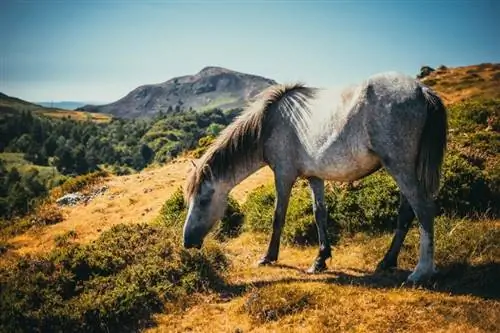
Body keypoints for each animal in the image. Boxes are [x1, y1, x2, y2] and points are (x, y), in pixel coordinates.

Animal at [182, 71, 448, 282]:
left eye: (204, 200)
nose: (187, 242)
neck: (269, 123)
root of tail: (422, 90)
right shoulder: (314, 177)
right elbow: (319, 214)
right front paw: (320, 259)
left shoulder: (283, 175)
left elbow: (278, 216)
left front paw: (268, 257)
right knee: (406, 212)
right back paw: (387, 261)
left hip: (400, 167)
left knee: (423, 209)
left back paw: (421, 271)